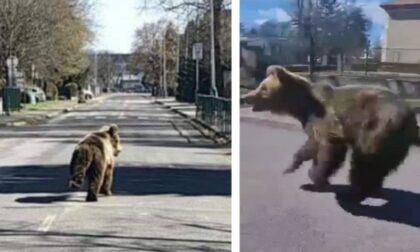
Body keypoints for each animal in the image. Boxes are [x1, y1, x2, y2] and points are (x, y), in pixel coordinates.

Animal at [243, 66, 420, 202]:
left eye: (263, 88)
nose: (244, 97)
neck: (301, 106)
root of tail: (410, 116)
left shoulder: (326, 119)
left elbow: (329, 148)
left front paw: (316, 178)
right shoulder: (312, 122)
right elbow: (310, 145)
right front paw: (291, 167)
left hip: (379, 126)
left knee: (365, 158)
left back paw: (357, 189)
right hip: (394, 140)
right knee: (379, 163)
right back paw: (373, 188)